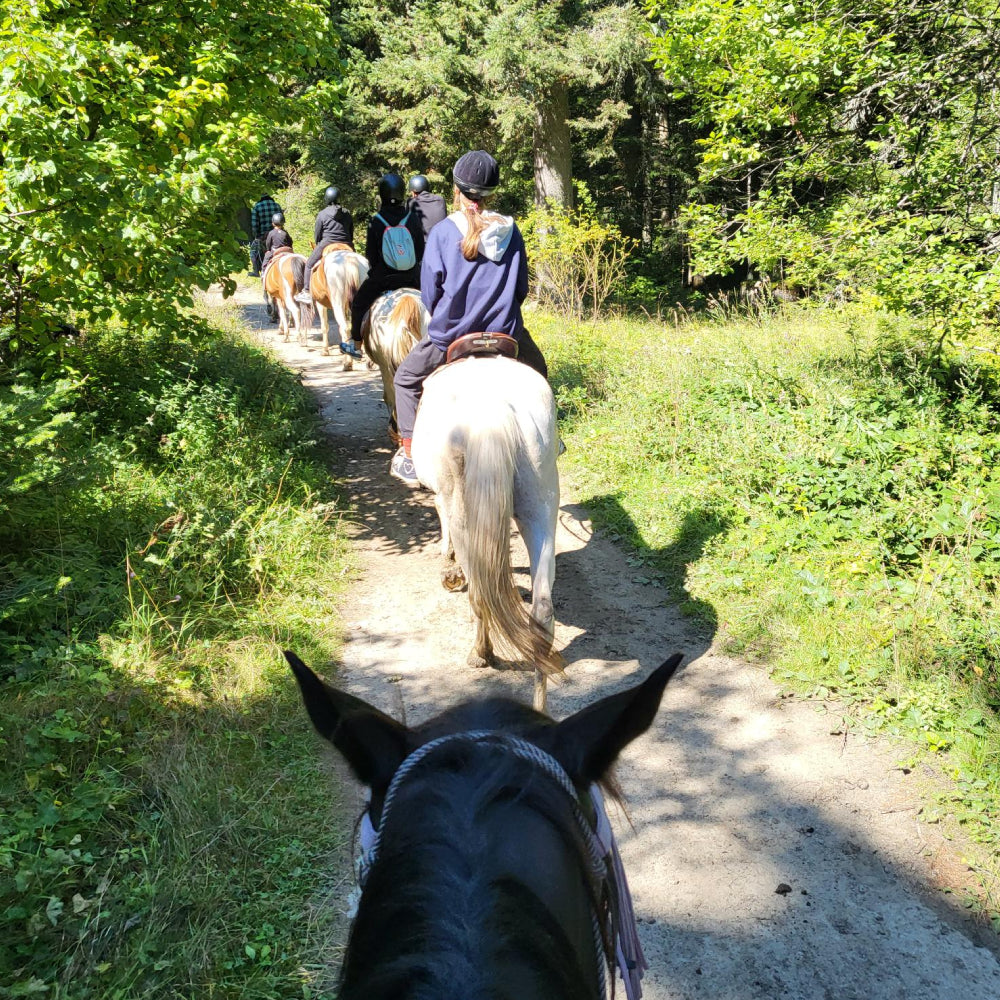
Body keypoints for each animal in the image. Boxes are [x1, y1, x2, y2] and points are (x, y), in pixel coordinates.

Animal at [408, 356, 564, 708]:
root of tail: (493, 410)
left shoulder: (444, 498)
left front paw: (449, 569)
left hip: (466, 511)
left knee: (480, 590)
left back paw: (481, 653)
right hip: (542, 502)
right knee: (542, 611)